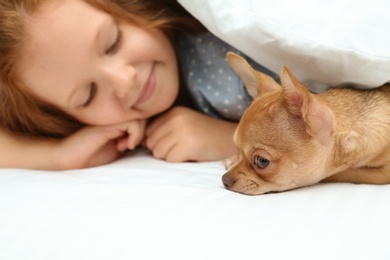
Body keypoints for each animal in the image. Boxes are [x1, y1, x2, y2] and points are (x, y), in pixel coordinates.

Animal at [222, 52, 390, 195]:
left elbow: (341, 173)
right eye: (238, 149)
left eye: (262, 161)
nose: (225, 179)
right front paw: (233, 159)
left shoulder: (382, 173)